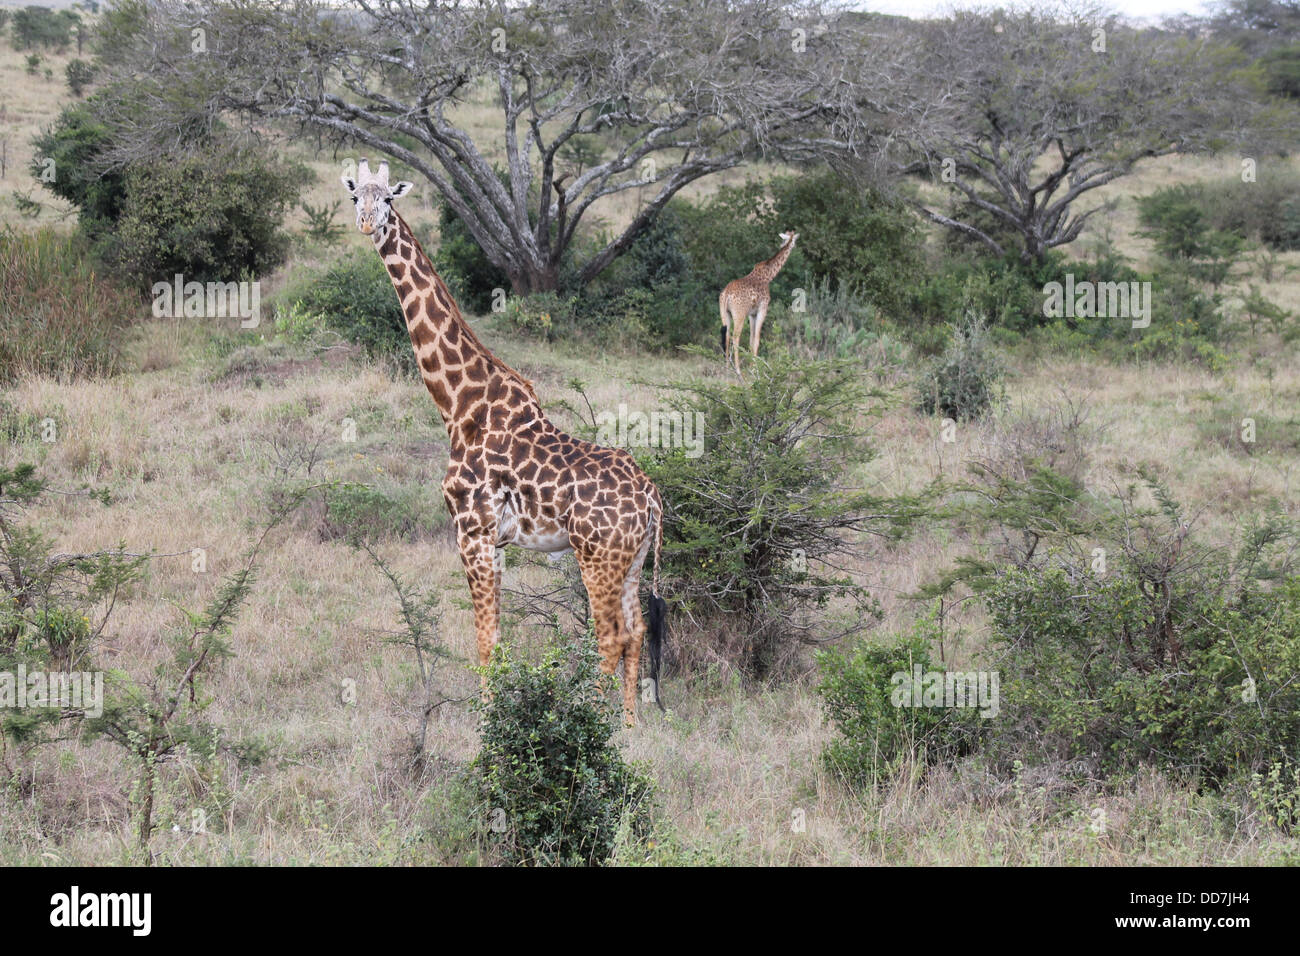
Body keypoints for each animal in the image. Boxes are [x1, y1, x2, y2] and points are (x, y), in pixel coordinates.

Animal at [343, 158, 670, 723]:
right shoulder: (495, 542)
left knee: (609, 638)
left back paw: (594, 724)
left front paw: (487, 723)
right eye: (354, 197)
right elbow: (499, 637)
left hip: (598, 560)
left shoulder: (471, 531)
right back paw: (630, 727)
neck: (458, 403)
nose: (367, 224)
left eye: (387, 199)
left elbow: (485, 639)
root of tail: (651, 498)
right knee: (635, 633)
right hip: (631, 561)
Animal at [717, 234, 795, 374]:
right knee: (735, 337)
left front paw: (751, 366)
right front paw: (755, 369)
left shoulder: (751, 314)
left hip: (725, 313)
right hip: (739, 314)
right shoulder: (762, 309)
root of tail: (726, 294)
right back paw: (737, 369)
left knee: (726, 336)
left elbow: (751, 340)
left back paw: (726, 369)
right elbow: (757, 340)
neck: (768, 275)